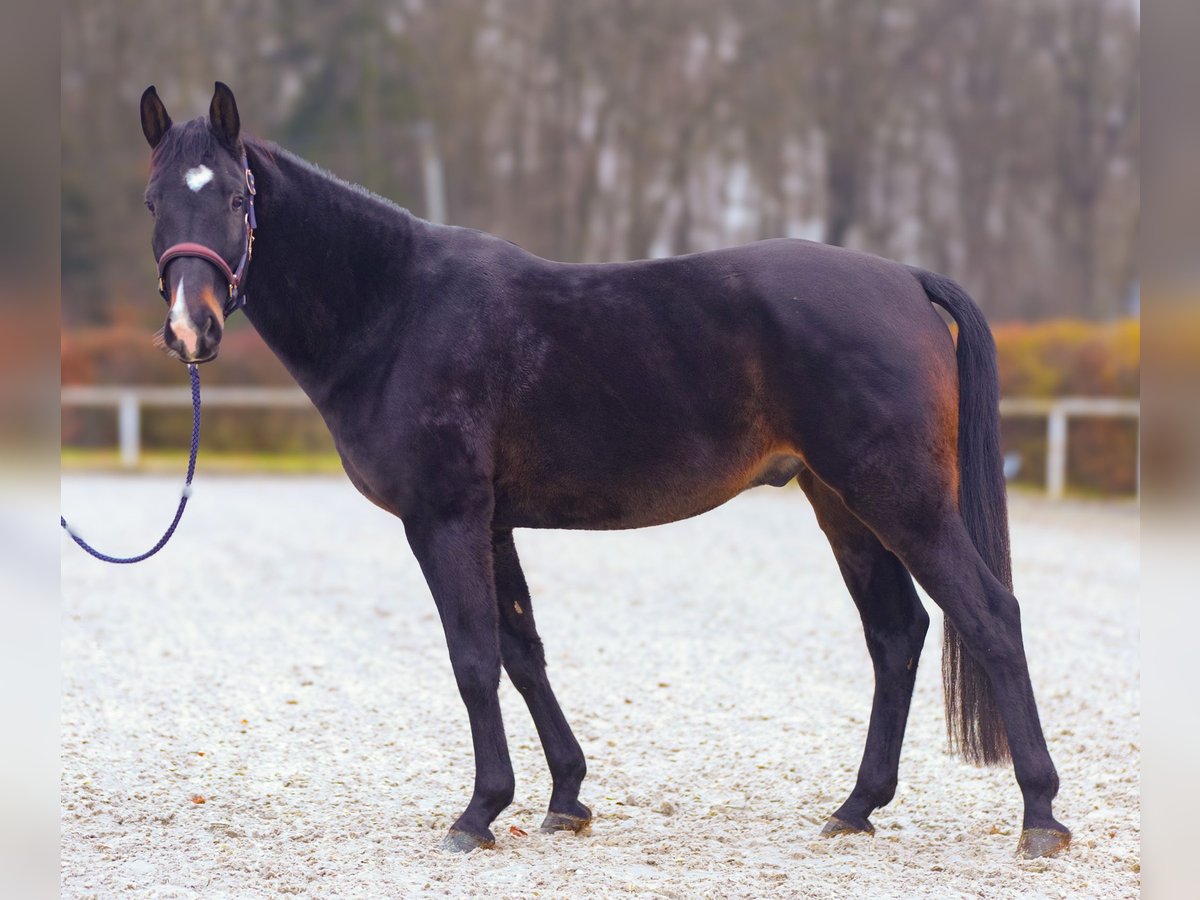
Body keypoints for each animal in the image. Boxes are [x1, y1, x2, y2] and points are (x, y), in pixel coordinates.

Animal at [138, 82, 1070, 859]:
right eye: (152, 200)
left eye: (234, 197)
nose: (190, 329)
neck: (398, 310)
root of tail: (904, 280)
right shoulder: (492, 522)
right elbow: (523, 652)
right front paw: (565, 797)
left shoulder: (444, 517)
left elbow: (473, 658)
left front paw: (479, 812)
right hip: (842, 504)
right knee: (897, 634)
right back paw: (857, 806)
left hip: (901, 497)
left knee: (990, 616)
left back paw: (1039, 814)